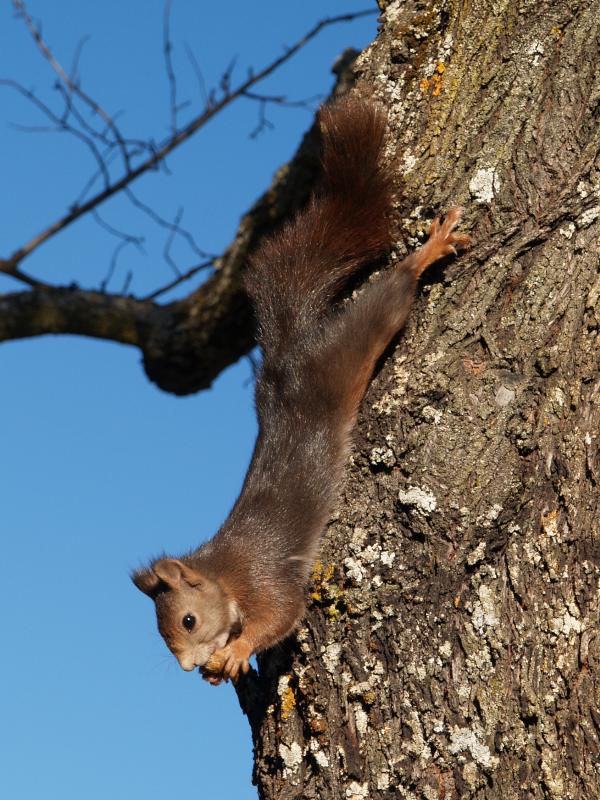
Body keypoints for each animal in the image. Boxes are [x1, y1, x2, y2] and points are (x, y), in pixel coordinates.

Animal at [132, 96, 470, 685]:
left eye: (189, 621)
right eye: (163, 634)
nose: (187, 669)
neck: (225, 576)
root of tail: (285, 360)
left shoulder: (266, 580)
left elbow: (282, 614)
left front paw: (240, 650)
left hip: (349, 343)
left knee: (389, 295)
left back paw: (429, 250)